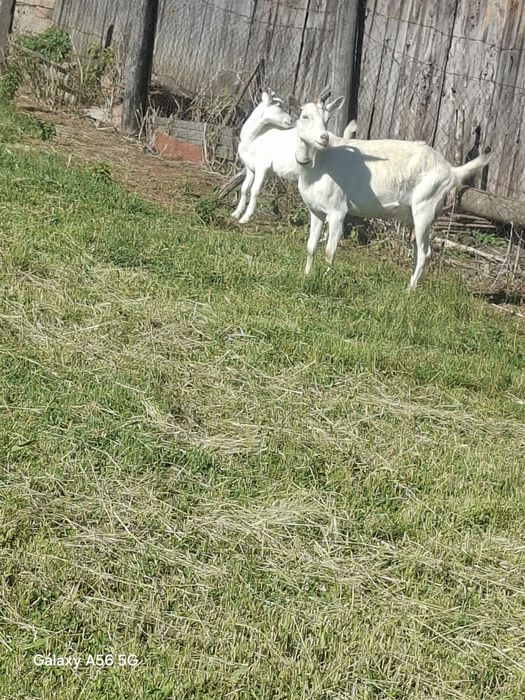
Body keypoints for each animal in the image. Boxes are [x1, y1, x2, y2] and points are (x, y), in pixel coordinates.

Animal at [232, 90, 357, 224]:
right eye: (279, 106)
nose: (291, 120)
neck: (254, 137)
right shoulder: (251, 167)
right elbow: (244, 188)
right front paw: (236, 213)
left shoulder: (262, 165)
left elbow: (254, 190)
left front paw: (245, 217)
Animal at [288, 95, 491, 290]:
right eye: (305, 116)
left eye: (327, 119)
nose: (324, 138)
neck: (318, 164)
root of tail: (450, 170)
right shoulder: (316, 210)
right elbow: (311, 246)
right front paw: (306, 277)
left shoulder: (337, 211)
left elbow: (330, 252)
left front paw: (327, 281)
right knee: (418, 249)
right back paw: (409, 284)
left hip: (425, 206)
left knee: (425, 252)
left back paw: (409, 291)